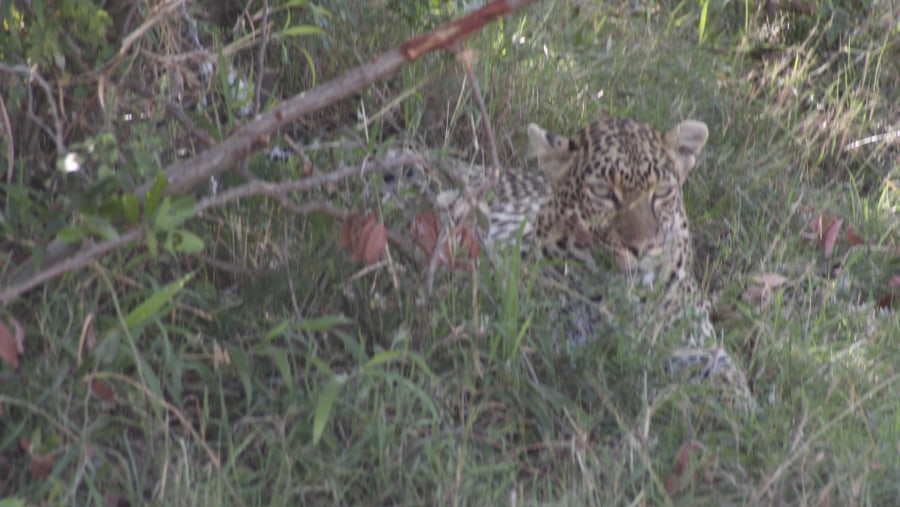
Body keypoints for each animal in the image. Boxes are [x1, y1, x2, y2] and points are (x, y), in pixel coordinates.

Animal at [486, 118, 752, 412]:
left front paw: (740, 412)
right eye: (602, 192)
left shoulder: (695, 344)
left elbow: (729, 379)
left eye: (662, 191)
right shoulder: (572, 342)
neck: (637, 300)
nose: (642, 246)